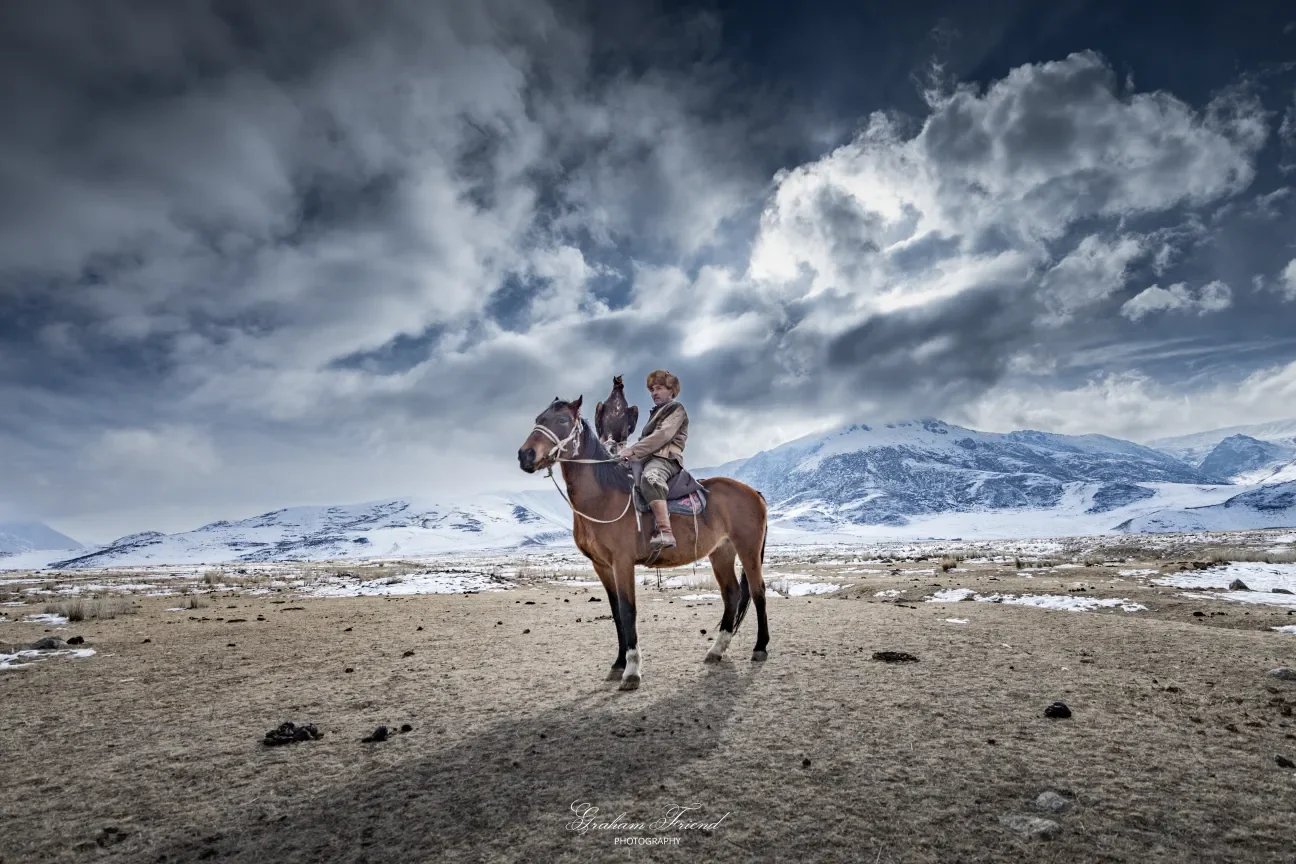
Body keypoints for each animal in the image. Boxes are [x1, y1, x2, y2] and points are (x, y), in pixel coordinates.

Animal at [518, 396, 770, 690]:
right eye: (539, 418)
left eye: (561, 420)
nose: (525, 455)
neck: (603, 497)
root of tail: (754, 492)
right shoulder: (602, 566)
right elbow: (616, 612)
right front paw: (618, 664)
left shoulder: (623, 562)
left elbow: (628, 611)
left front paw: (632, 671)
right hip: (721, 552)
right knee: (732, 594)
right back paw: (716, 651)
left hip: (748, 549)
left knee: (758, 591)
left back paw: (760, 648)